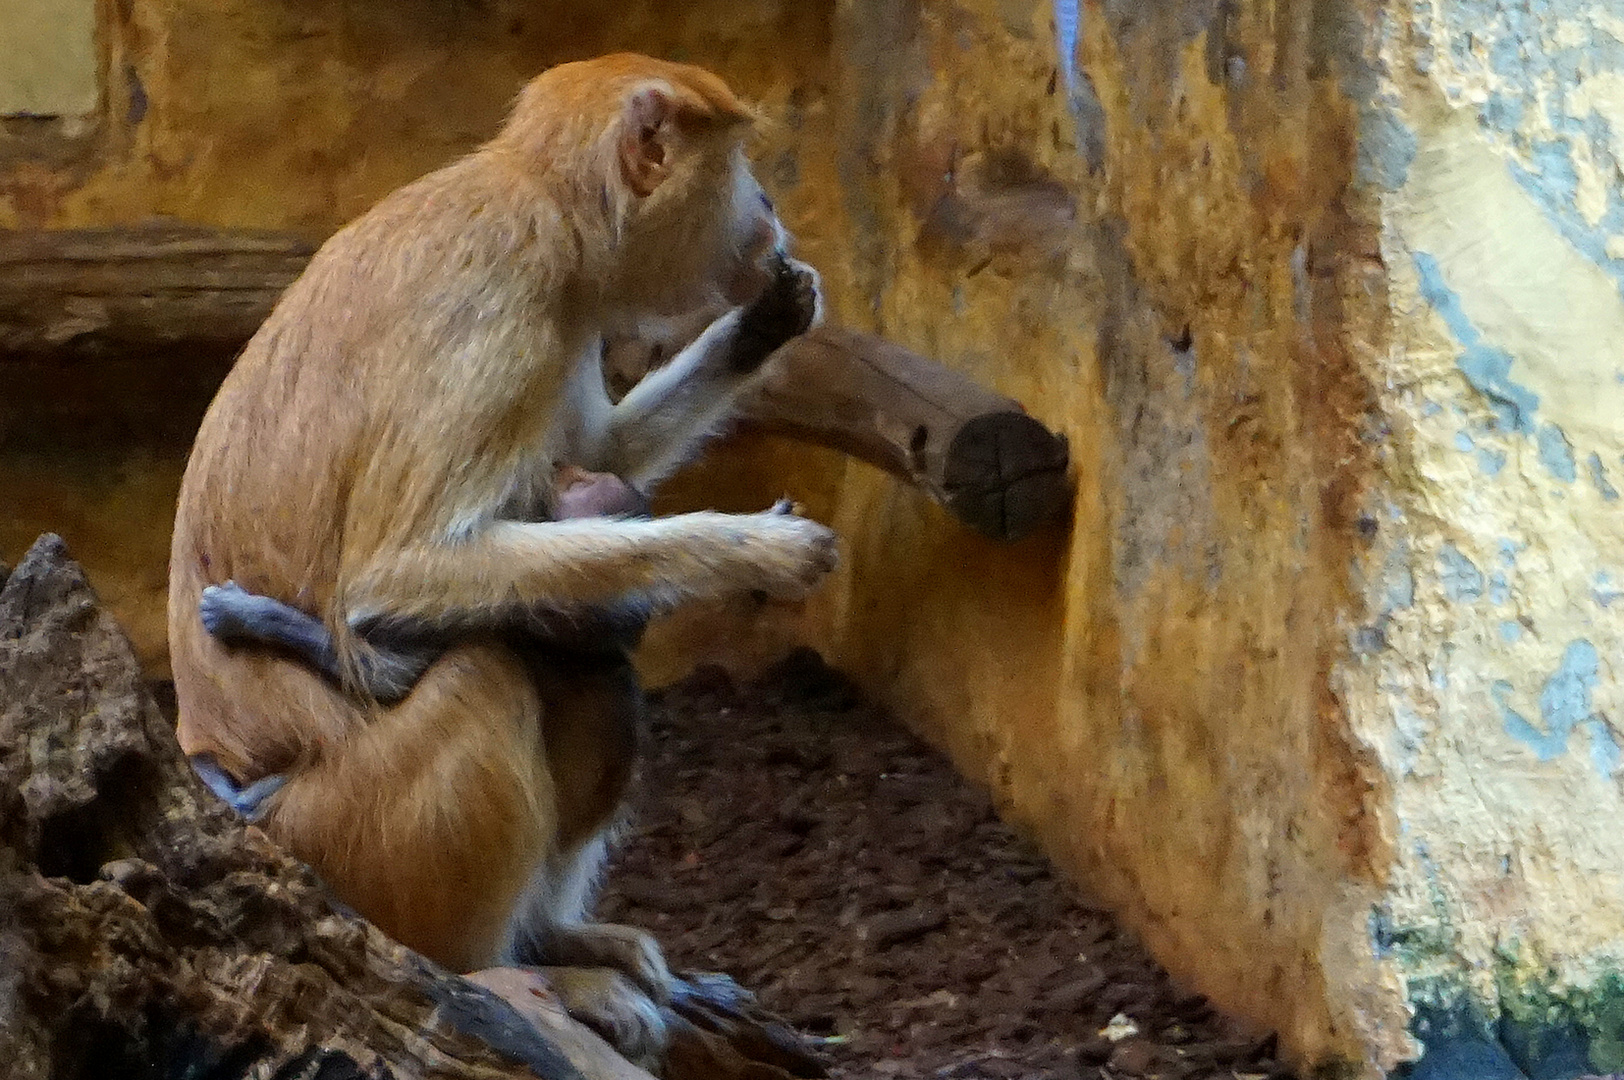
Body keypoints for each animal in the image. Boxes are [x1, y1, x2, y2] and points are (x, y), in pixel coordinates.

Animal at [169, 52, 837, 1058]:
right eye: (737, 162)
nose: (767, 205)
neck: (540, 194)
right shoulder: (505, 309)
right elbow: (392, 575)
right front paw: (760, 546)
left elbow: (596, 458)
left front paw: (767, 321)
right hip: (333, 840)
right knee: (485, 677)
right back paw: (496, 971)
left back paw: (560, 938)